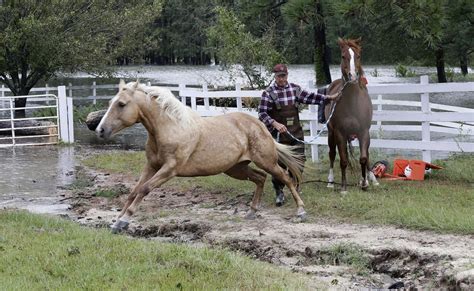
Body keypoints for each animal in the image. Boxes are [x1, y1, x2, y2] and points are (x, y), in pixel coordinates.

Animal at [96, 80, 308, 233]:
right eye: (110, 103)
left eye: (121, 104)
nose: (100, 130)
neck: (170, 128)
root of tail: (260, 125)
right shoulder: (151, 166)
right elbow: (134, 191)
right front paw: (117, 221)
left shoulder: (169, 169)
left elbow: (144, 189)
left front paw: (124, 220)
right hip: (236, 168)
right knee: (260, 178)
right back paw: (251, 212)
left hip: (266, 161)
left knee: (286, 178)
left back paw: (301, 211)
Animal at [326, 38, 378, 194]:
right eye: (343, 56)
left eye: (358, 56)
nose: (353, 76)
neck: (352, 103)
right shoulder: (340, 133)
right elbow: (343, 160)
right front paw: (343, 187)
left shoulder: (364, 132)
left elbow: (364, 158)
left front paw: (365, 183)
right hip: (331, 134)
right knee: (332, 154)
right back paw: (330, 181)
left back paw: (371, 179)